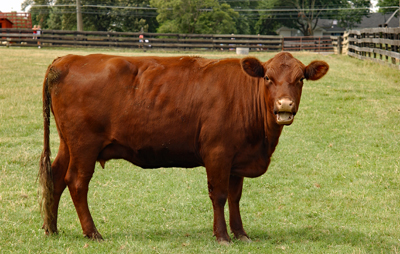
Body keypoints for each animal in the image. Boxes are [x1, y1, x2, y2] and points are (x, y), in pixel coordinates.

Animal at [39, 52, 328, 245]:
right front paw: (222, 236)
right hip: (84, 146)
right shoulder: (217, 153)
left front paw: (241, 234)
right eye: (267, 77)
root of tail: (67, 59)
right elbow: (219, 195)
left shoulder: (238, 159)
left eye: (300, 79)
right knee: (77, 182)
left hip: (68, 144)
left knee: (56, 177)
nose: (285, 105)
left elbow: (235, 197)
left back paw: (52, 228)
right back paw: (92, 232)